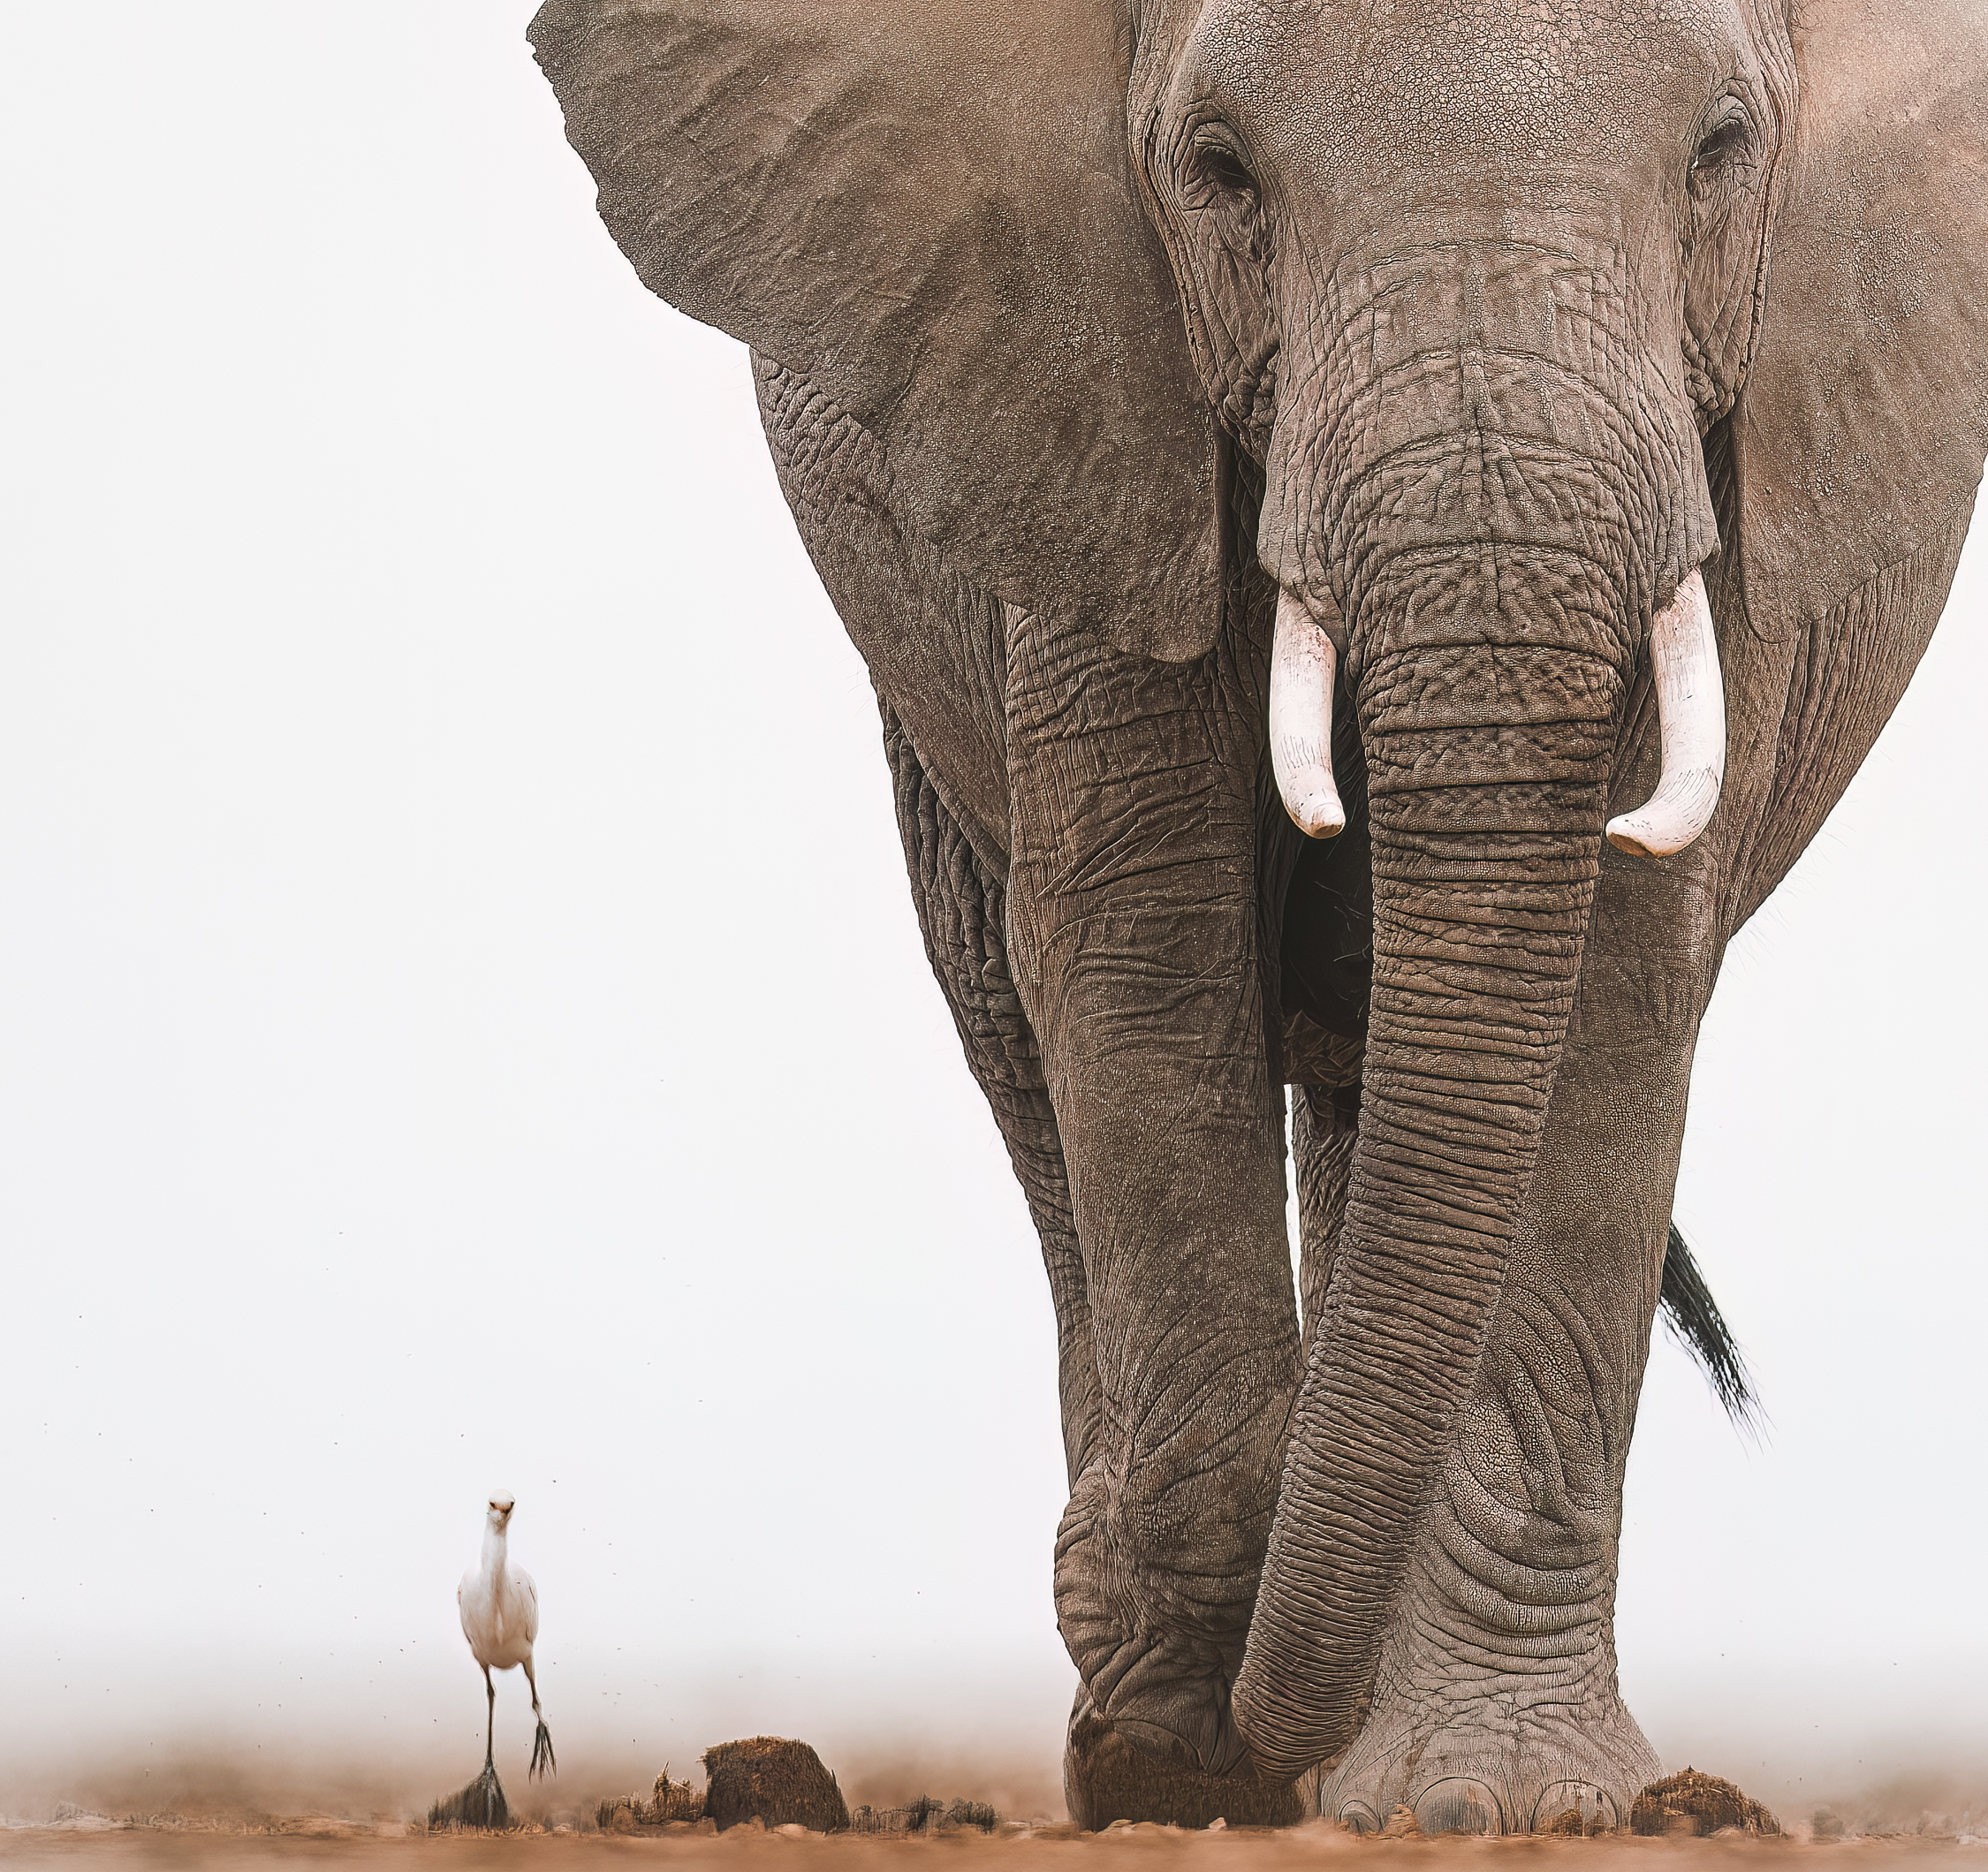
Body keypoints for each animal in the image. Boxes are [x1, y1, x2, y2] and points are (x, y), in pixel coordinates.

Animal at [526, 0, 1988, 1835]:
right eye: (1220, 171)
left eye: (1722, 150)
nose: (1254, 1725)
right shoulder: (1092, 397)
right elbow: (1144, 942)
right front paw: (1184, 1751)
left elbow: (1613, 982)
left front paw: (1497, 1798)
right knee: (1019, 1026)